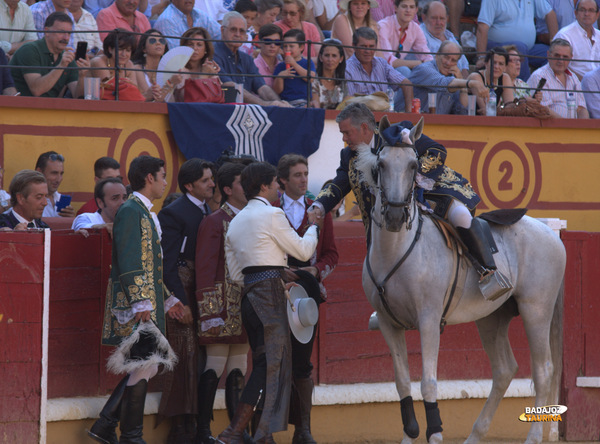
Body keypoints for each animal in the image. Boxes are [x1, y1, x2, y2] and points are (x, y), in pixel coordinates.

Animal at [356, 118, 568, 444]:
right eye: (380, 165)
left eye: (413, 164)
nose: (393, 216)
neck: (395, 251)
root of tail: (549, 232)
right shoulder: (389, 323)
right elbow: (402, 382)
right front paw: (410, 434)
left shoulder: (429, 319)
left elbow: (428, 382)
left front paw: (434, 434)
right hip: (492, 317)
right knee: (505, 369)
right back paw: (475, 435)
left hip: (537, 310)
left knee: (543, 369)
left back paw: (532, 438)